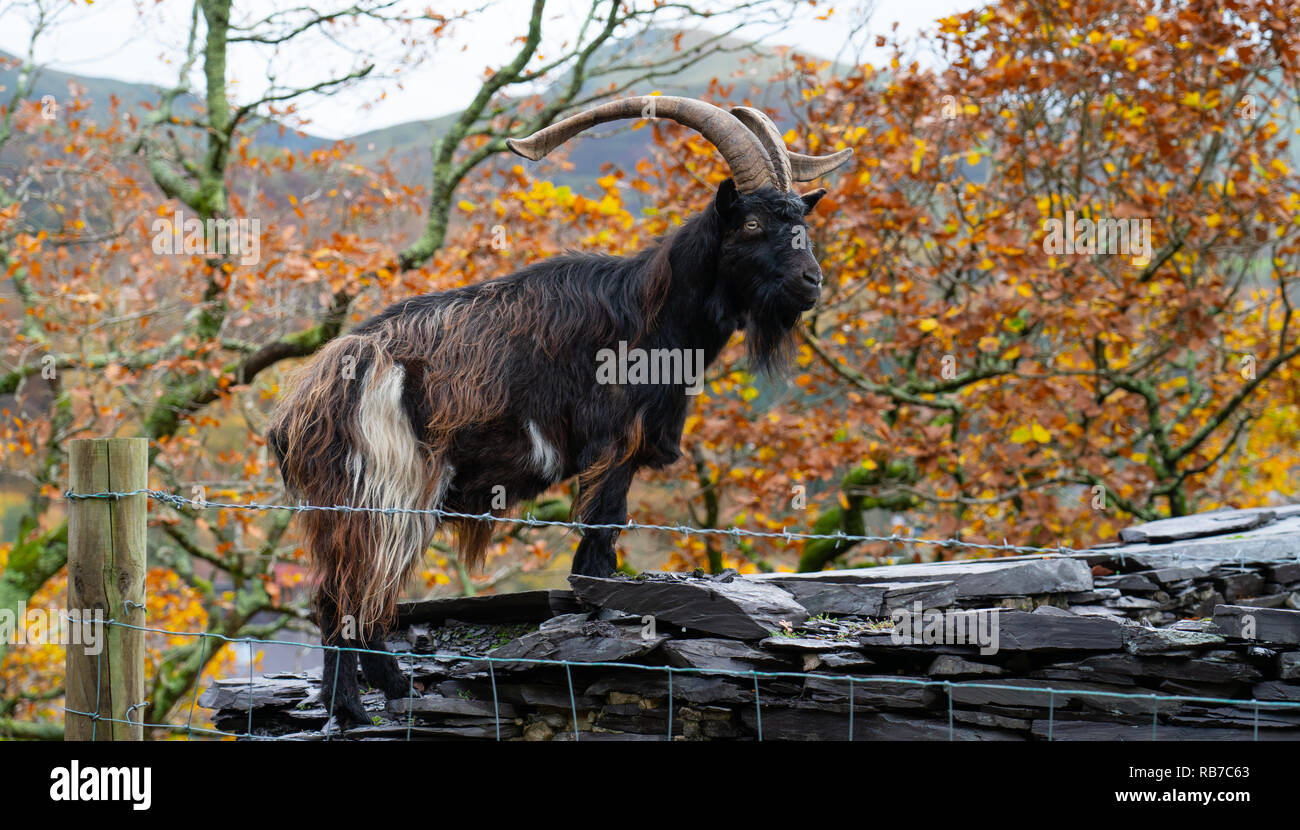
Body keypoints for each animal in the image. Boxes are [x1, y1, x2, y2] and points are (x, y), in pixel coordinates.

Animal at [266, 94, 852, 723]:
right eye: (752, 223)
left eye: (802, 224)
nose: (811, 282)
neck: (649, 313)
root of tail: (303, 405)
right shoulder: (612, 446)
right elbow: (600, 538)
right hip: (387, 486)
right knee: (354, 591)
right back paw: (360, 703)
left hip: (347, 502)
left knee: (335, 592)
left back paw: (364, 697)